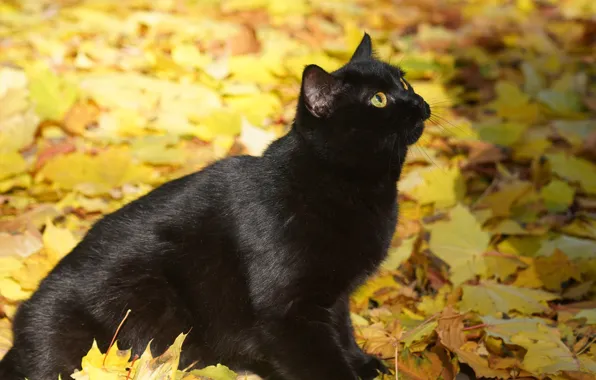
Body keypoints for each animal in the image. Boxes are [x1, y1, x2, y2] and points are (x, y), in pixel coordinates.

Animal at [0, 33, 428, 380]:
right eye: (378, 99)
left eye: (403, 81)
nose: (419, 101)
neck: (350, 186)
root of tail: (19, 334)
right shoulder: (288, 311)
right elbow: (320, 362)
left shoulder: (333, 297)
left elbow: (344, 331)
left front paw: (363, 363)